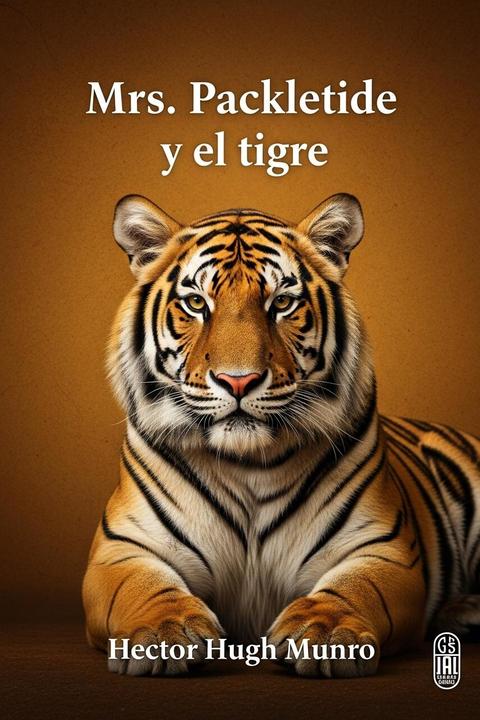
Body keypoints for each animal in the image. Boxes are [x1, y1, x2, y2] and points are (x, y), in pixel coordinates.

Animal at [82, 192, 480, 678]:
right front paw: (165, 632)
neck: (248, 462)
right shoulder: (122, 549)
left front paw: (324, 633)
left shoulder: (382, 547)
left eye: (283, 302)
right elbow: (142, 587)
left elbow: (356, 589)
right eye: (195, 303)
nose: (238, 381)